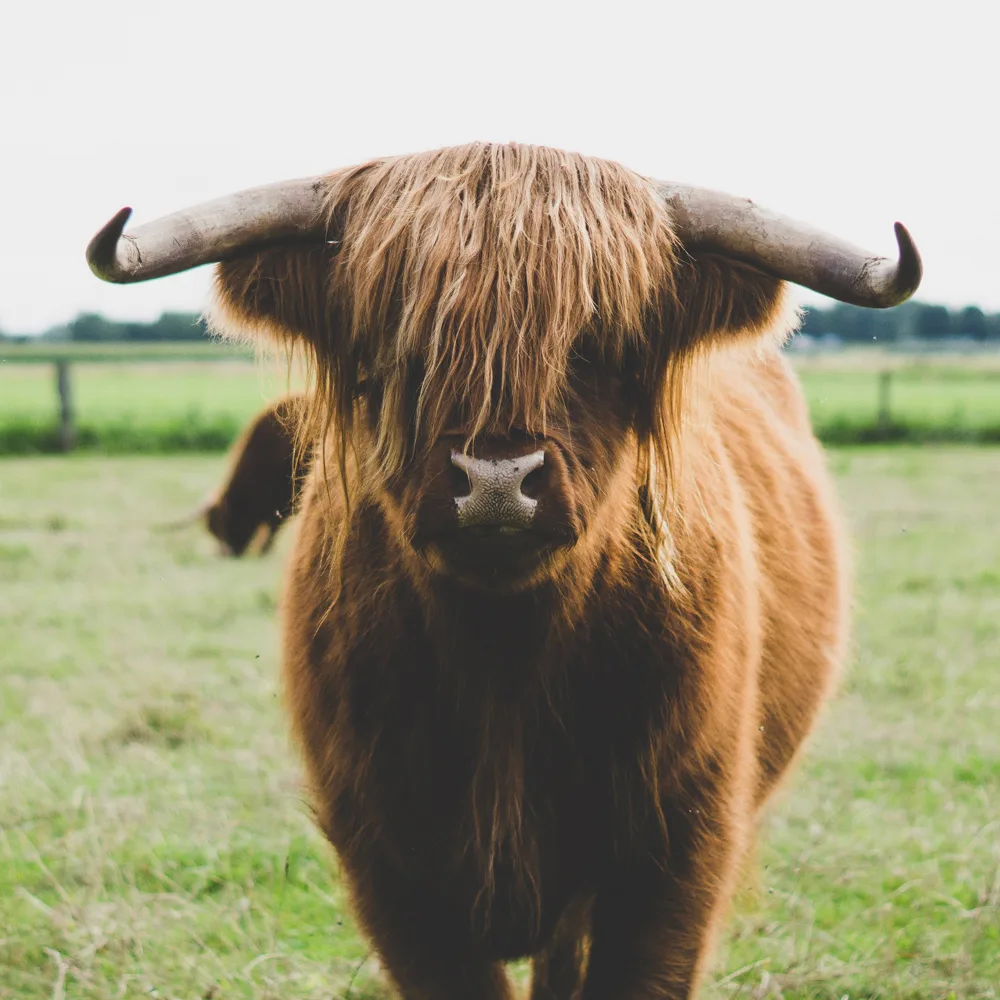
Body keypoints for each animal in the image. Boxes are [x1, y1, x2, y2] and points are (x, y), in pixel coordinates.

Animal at [88, 143, 920, 1000]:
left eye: (596, 340)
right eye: (401, 342)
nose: (495, 479)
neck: (505, 660)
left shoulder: (677, 851)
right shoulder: (389, 864)